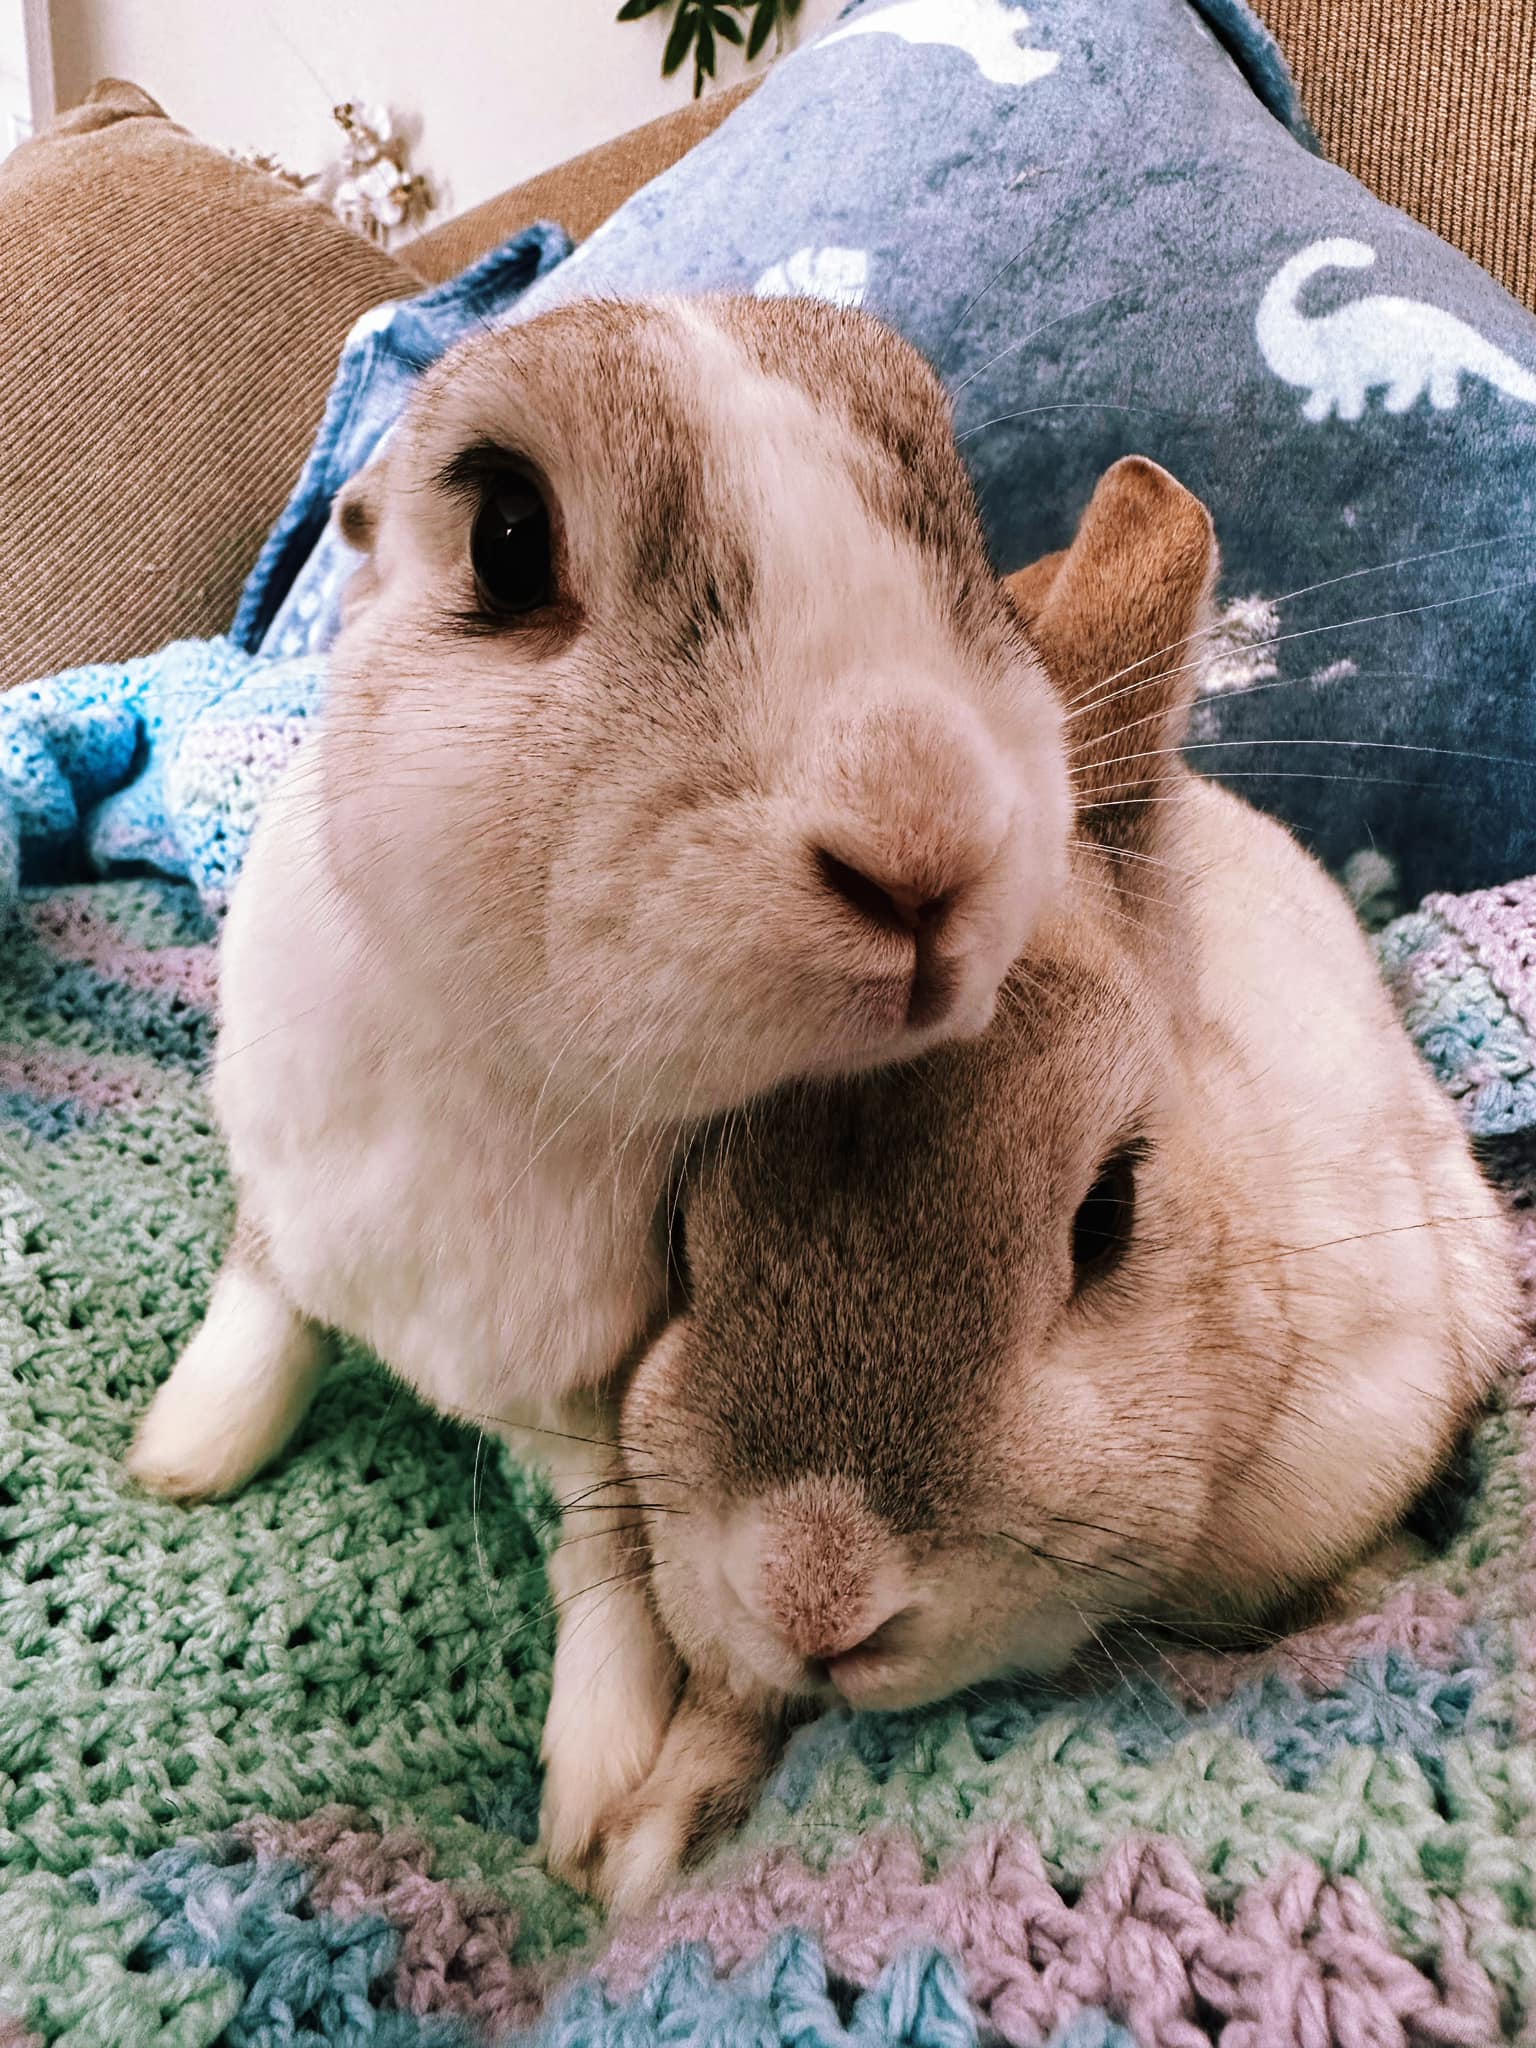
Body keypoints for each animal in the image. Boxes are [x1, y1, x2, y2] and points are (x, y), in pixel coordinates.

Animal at [125, 294, 1074, 1885]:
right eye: (509, 536)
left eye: (959, 511)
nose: (928, 842)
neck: (513, 1060)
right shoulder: (285, 1186)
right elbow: (265, 1300)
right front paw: (182, 1455)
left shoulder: (610, 1406)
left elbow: (613, 1568)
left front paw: (594, 1791)